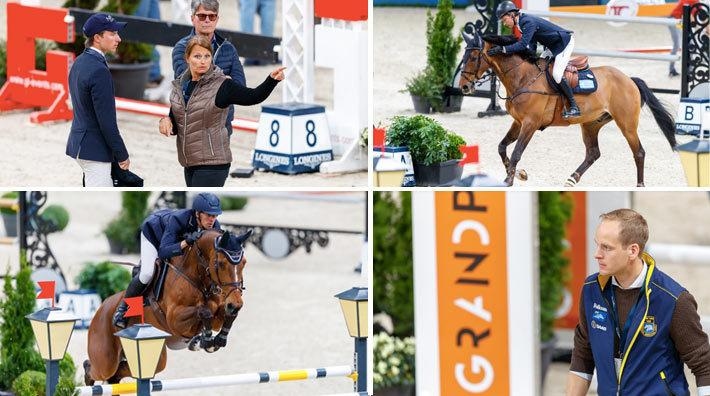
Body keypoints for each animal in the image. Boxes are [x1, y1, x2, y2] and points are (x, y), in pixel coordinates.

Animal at [84, 227, 250, 386]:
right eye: (220, 264)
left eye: (244, 263)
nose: (236, 304)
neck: (196, 277)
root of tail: (101, 308)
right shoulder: (175, 320)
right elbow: (204, 311)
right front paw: (207, 340)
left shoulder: (218, 314)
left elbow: (225, 314)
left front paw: (219, 338)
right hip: (105, 360)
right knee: (95, 369)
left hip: (154, 358)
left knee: (119, 372)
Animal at [462, 29, 680, 187]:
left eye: (473, 58)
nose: (463, 86)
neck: (522, 77)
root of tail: (629, 80)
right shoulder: (518, 122)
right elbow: (502, 147)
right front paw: (518, 174)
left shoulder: (530, 124)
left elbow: (516, 151)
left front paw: (509, 179)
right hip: (591, 124)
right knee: (593, 153)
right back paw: (572, 178)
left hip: (626, 124)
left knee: (639, 152)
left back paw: (640, 184)